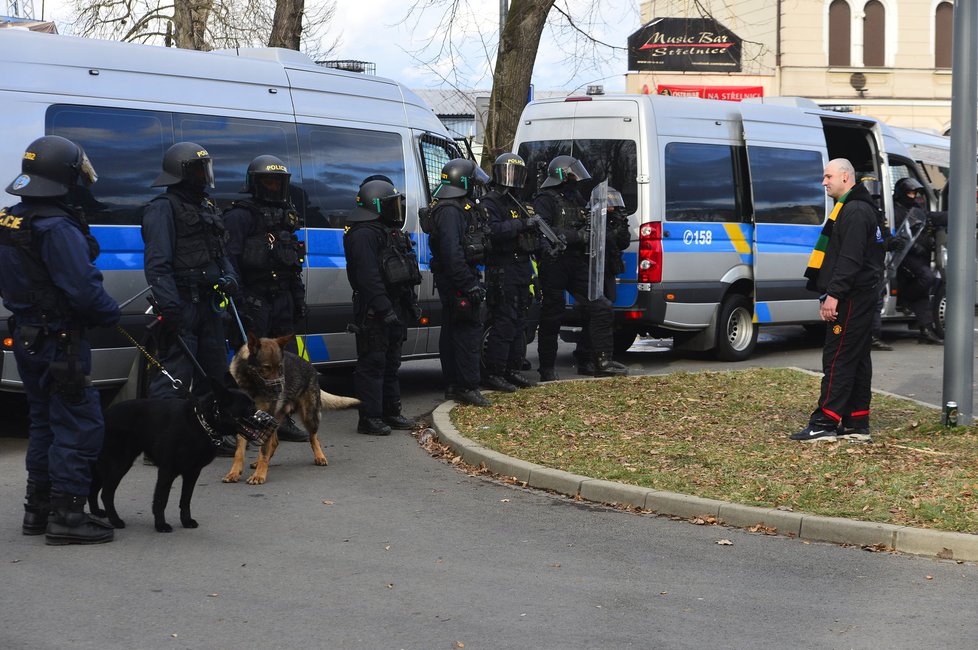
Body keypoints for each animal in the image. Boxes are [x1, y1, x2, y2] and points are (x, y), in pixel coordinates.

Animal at [89, 374, 276, 532]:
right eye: (249, 407)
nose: (271, 421)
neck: (203, 422)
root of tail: (104, 415)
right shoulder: (166, 472)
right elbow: (161, 499)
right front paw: (160, 525)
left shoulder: (192, 473)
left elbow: (185, 499)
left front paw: (186, 521)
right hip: (119, 464)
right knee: (106, 493)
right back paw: (115, 520)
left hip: (104, 466)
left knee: (93, 488)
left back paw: (97, 512)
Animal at [224, 334, 358, 480]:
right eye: (266, 367)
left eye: (280, 367)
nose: (279, 390)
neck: (252, 385)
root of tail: (309, 365)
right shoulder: (244, 419)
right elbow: (239, 451)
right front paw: (234, 472)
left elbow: (264, 450)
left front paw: (259, 475)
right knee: (275, 442)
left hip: (308, 415)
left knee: (313, 437)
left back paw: (320, 456)